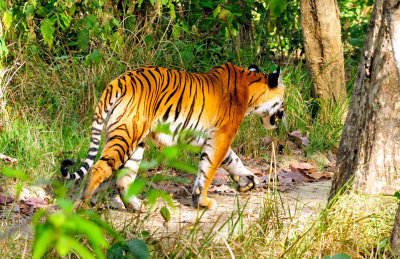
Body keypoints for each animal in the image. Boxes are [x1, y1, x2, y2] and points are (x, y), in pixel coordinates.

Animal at [61, 63, 284, 211]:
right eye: (283, 100)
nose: (283, 114)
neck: (250, 89)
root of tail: (118, 81)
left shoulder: (211, 138)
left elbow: (232, 159)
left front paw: (248, 180)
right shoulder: (221, 135)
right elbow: (209, 169)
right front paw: (203, 202)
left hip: (135, 142)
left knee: (123, 178)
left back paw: (137, 207)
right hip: (126, 135)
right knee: (99, 168)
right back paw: (82, 206)